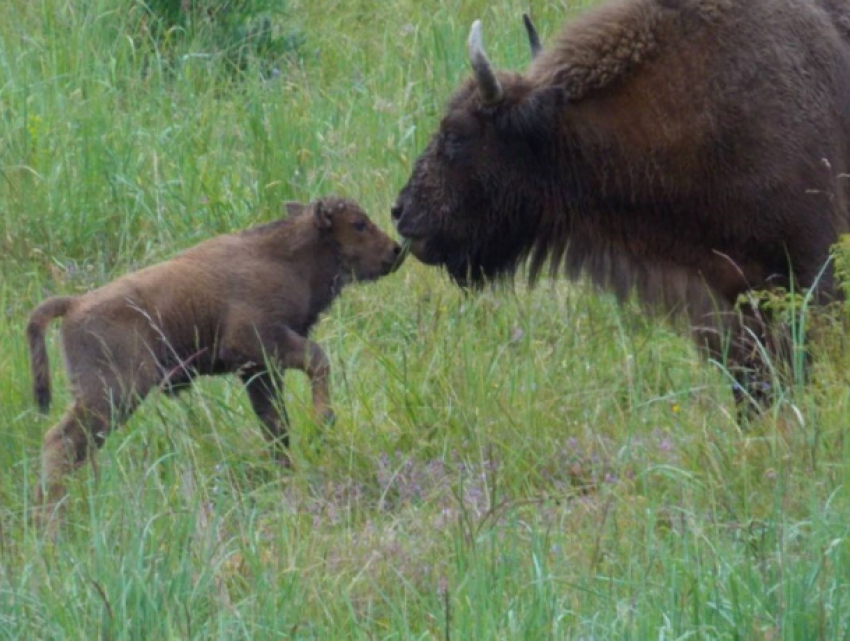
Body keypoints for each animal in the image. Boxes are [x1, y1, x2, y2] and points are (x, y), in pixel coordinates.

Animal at [27, 195, 404, 520]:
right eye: (358, 224)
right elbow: (318, 361)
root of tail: (75, 304)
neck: (285, 256)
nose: (396, 250)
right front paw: (323, 421)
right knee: (59, 443)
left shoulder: (258, 371)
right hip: (112, 394)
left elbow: (275, 425)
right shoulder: (261, 345)